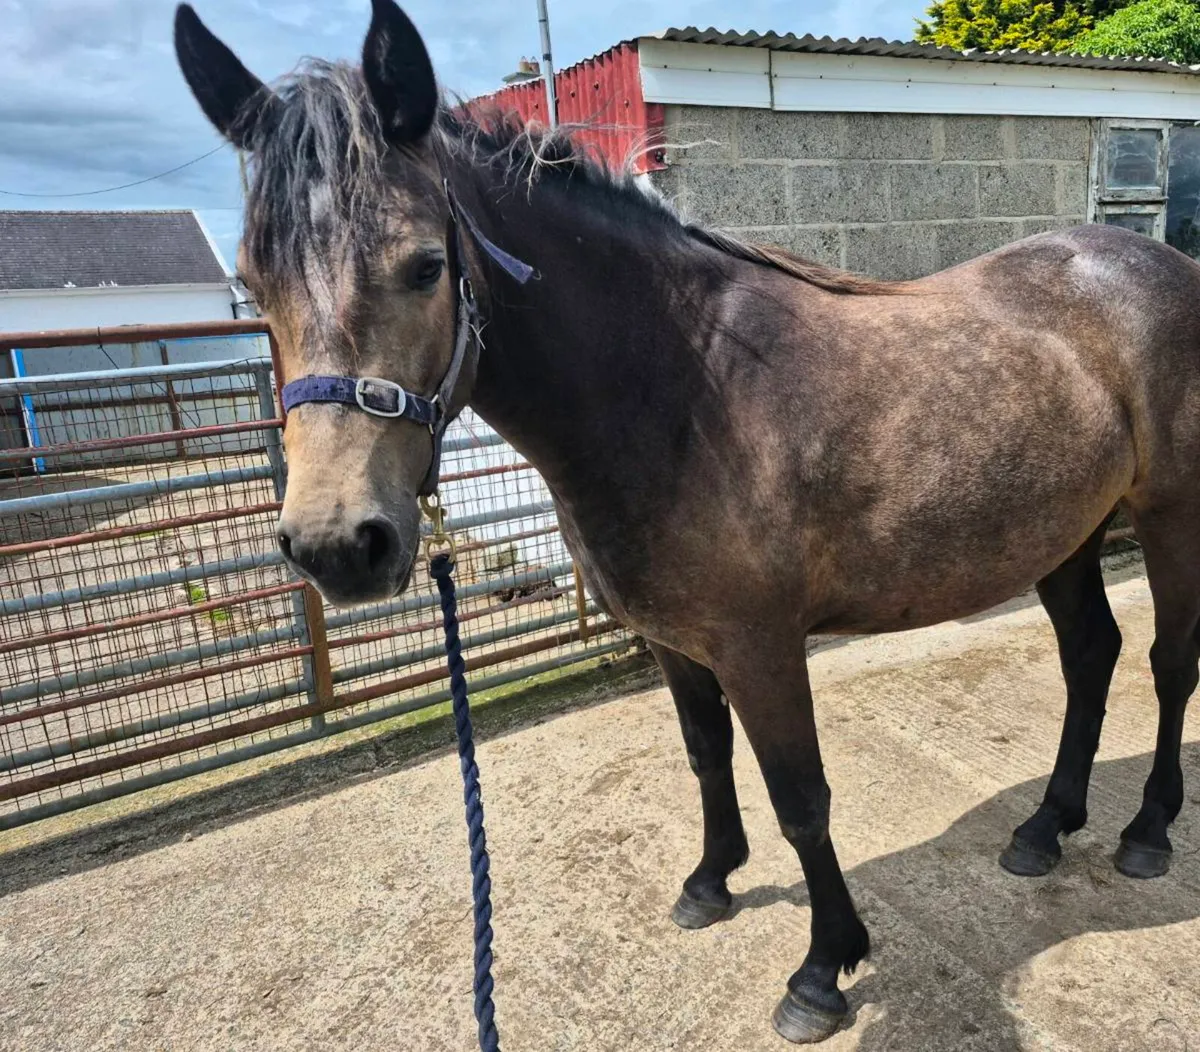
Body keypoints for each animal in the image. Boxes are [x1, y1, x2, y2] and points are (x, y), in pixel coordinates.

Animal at [174, 1, 1200, 1042]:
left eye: (425, 267)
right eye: (257, 284)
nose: (339, 546)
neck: (680, 389)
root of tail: (1155, 261)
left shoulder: (760, 646)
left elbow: (801, 797)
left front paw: (823, 970)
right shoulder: (677, 641)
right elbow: (707, 757)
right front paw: (711, 882)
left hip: (1170, 516)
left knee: (1167, 663)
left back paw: (1147, 832)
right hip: (1065, 534)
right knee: (1091, 657)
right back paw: (1045, 827)